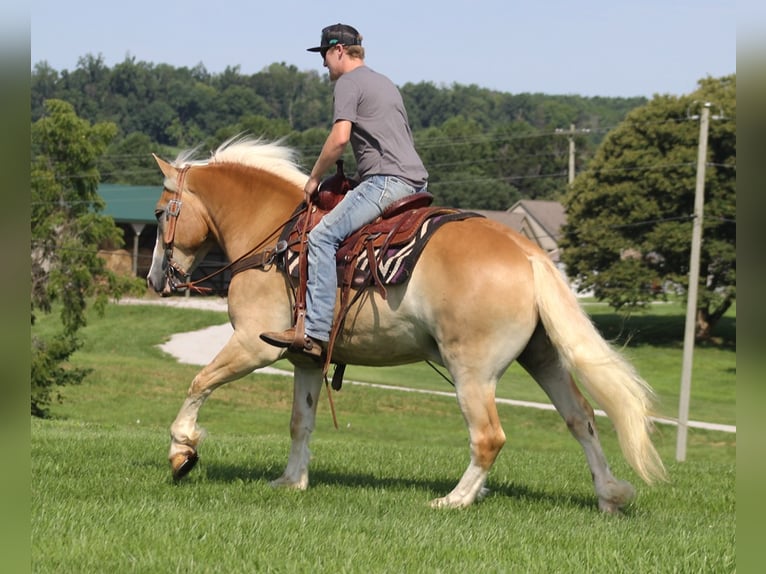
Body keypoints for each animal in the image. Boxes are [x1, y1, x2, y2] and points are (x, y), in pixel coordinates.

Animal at [148, 138, 664, 512]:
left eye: (158, 213)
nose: (155, 278)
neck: (274, 238)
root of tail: (529, 253)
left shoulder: (256, 345)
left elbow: (199, 382)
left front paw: (182, 452)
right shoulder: (305, 359)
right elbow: (300, 422)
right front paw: (291, 481)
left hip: (472, 371)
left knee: (489, 437)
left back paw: (455, 500)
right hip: (542, 357)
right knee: (582, 420)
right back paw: (609, 495)